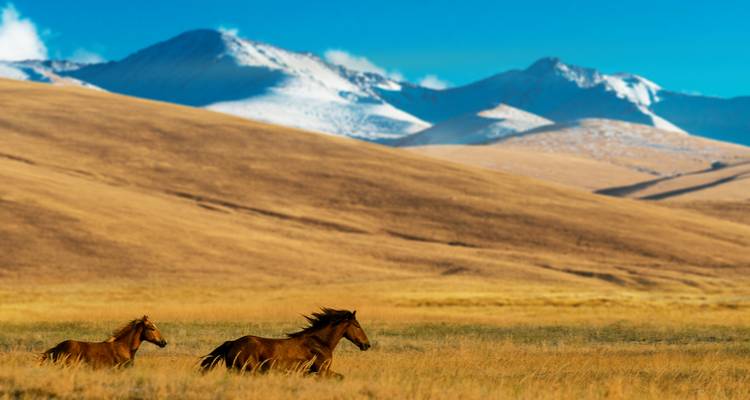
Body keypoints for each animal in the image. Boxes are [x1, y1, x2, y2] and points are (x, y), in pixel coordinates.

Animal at [199, 308, 370, 377]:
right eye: (357, 325)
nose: (367, 345)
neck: (319, 343)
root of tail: (232, 343)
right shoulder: (321, 371)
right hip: (247, 370)